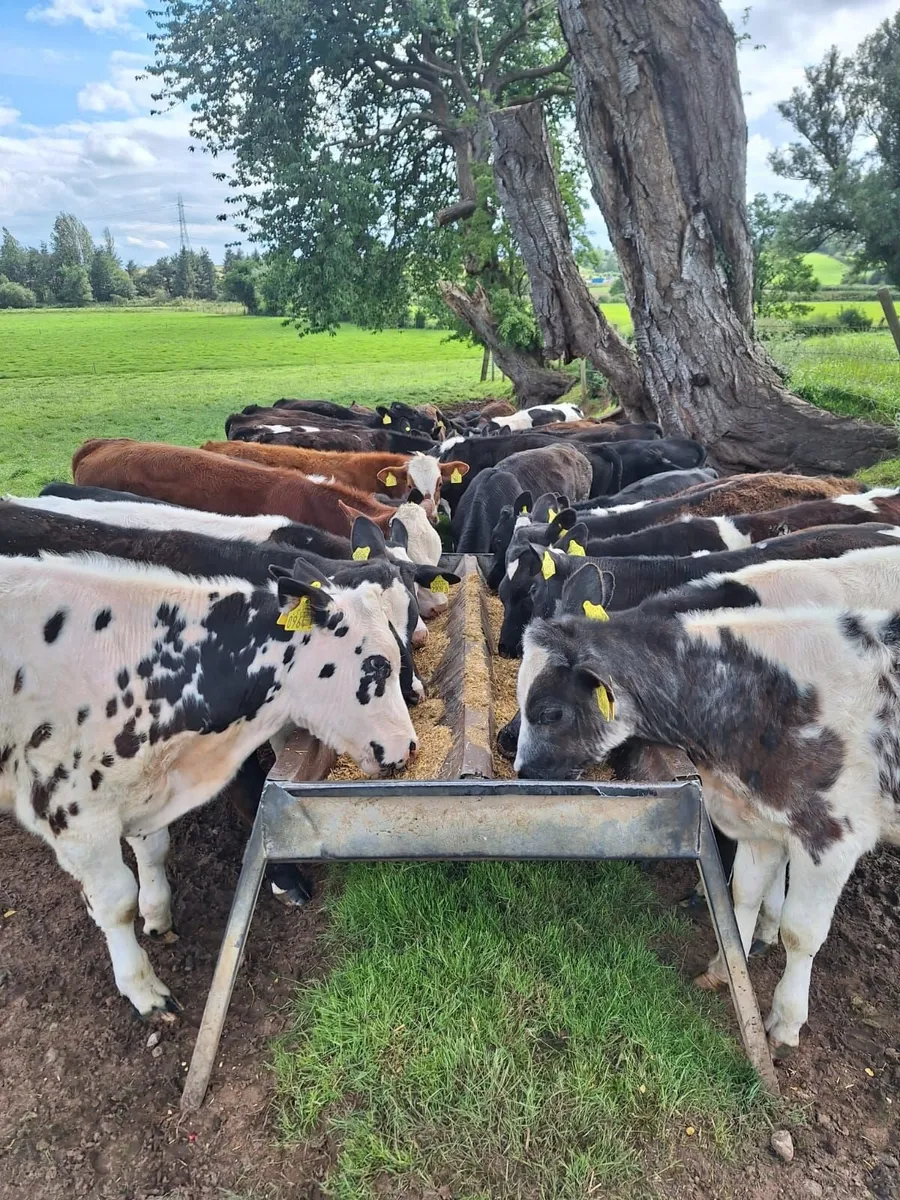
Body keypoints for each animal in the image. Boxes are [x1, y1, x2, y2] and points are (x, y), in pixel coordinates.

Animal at [0, 552, 417, 1018]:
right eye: (378, 664)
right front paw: (142, 988)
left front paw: (157, 915)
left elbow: (153, 851)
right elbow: (115, 903)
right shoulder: (76, 817)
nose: (409, 745)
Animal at [513, 560, 900, 1054]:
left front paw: (785, 1021)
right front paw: (726, 969)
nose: (523, 770)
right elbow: (741, 895)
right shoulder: (759, 822)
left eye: (550, 712)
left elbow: (802, 932)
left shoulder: (832, 836)